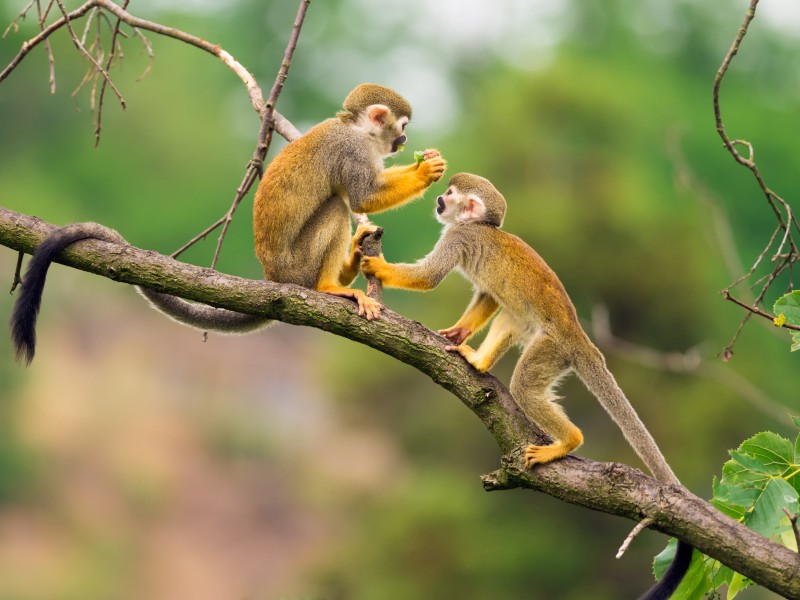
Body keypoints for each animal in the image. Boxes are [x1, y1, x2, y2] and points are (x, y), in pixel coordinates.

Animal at [10, 83, 446, 363]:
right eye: (402, 127)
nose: (404, 142)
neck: (357, 129)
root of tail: (273, 278)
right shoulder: (352, 150)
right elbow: (361, 197)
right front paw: (426, 172)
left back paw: (353, 261)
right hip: (297, 266)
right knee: (337, 207)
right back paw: (330, 286)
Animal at [360, 172, 693, 599]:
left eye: (449, 194)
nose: (438, 200)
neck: (479, 227)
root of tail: (580, 337)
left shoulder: (458, 237)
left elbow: (430, 277)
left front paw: (379, 266)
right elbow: (487, 295)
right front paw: (459, 332)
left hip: (553, 348)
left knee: (525, 386)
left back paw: (568, 442)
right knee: (511, 313)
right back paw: (480, 361)